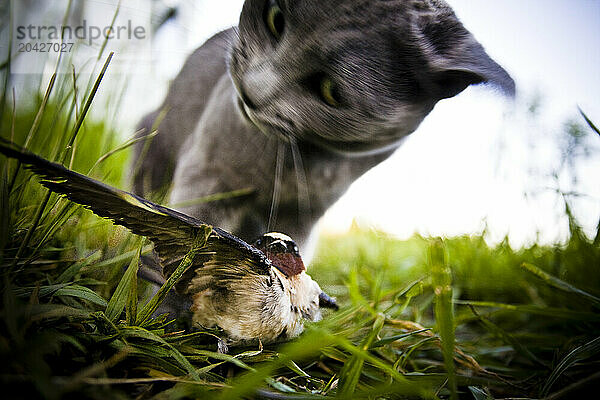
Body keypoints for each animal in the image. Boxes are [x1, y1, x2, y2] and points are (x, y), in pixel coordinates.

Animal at [132, 0, 516, 255]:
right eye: (275, 19)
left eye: (331, 91)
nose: (251, 91)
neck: (298, 161)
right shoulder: (209, 173)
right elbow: (194, 228)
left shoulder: (303, 215)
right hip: (152, 143)